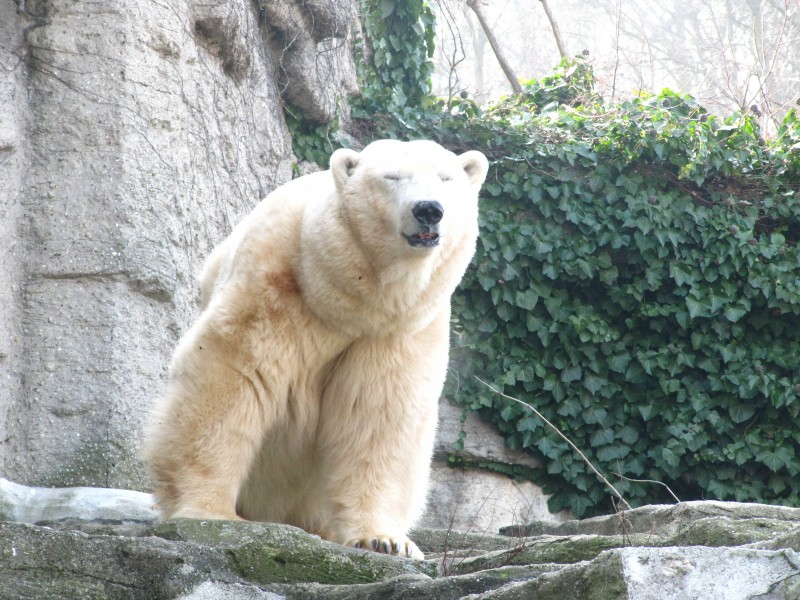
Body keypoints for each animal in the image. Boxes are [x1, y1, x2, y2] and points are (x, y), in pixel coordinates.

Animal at [147, 138, 490, 560]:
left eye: (446, 178)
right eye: (391, 177)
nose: (428, 210)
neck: (341, 295)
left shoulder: (397, 327)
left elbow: (378, 411)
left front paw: (384, 540)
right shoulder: (273, 281)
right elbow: (233, 378)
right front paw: (208, 513)